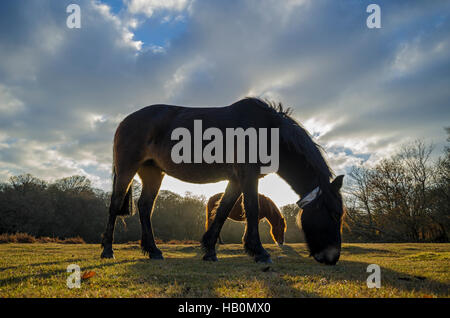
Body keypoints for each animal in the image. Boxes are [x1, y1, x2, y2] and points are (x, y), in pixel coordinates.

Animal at [99, 98, 344, 264]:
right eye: (333, 214)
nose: (332, 258)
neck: (267, 131)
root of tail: (126, 121)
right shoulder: (247, 175)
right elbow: (252, 209)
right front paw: (259, 252)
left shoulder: (236, 179)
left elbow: (223, 210)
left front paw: (209, 249)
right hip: (127, 169)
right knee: (114, 205)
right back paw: (108, 250)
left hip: (153, 173)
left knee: (144, 207)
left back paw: (153, 251)